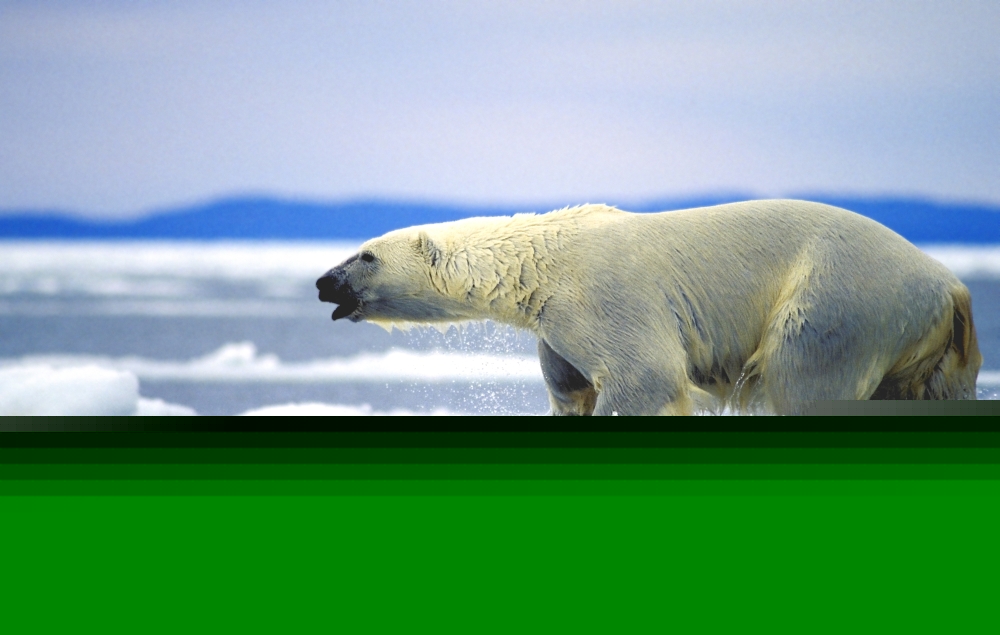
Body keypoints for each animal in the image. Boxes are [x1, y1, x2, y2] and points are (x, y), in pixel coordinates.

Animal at [316, 200, 982, 415]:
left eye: (365, 254)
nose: (323, 282)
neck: (542, 260)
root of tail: (951, 286)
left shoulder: (603, 296)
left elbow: (645, 374)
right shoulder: (555, 333)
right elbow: (569, 389)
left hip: (835, 302)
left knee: (803, 376)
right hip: (930, 350)